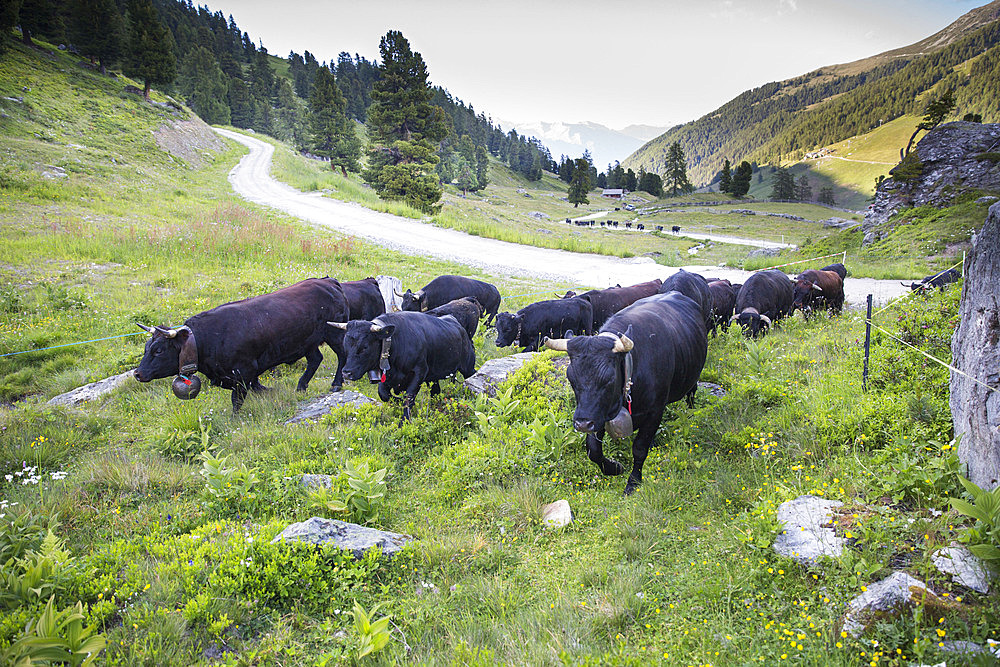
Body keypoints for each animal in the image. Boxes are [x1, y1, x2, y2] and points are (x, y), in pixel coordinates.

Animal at [135, 276, 350, 412]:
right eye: (146, 348)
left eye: (158, 350)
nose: (137, 373)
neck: (207, 339)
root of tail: (328, 281)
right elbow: (255, 385)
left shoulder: (244, 370)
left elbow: (237, 400)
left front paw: (234, 419)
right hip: (308, 342)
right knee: (315, 359)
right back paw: (301, 386)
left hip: (334, 332)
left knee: (342, 356)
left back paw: (336, 384)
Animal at [544, 294, 708, 496]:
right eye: (571, 378)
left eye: (609, 379)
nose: (582, 424)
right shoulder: (598, 414)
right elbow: (593, 449)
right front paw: (614, 468)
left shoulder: (654, 411)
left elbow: (639, 448)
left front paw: (633, 481)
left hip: (693, 378)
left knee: (692, 393)